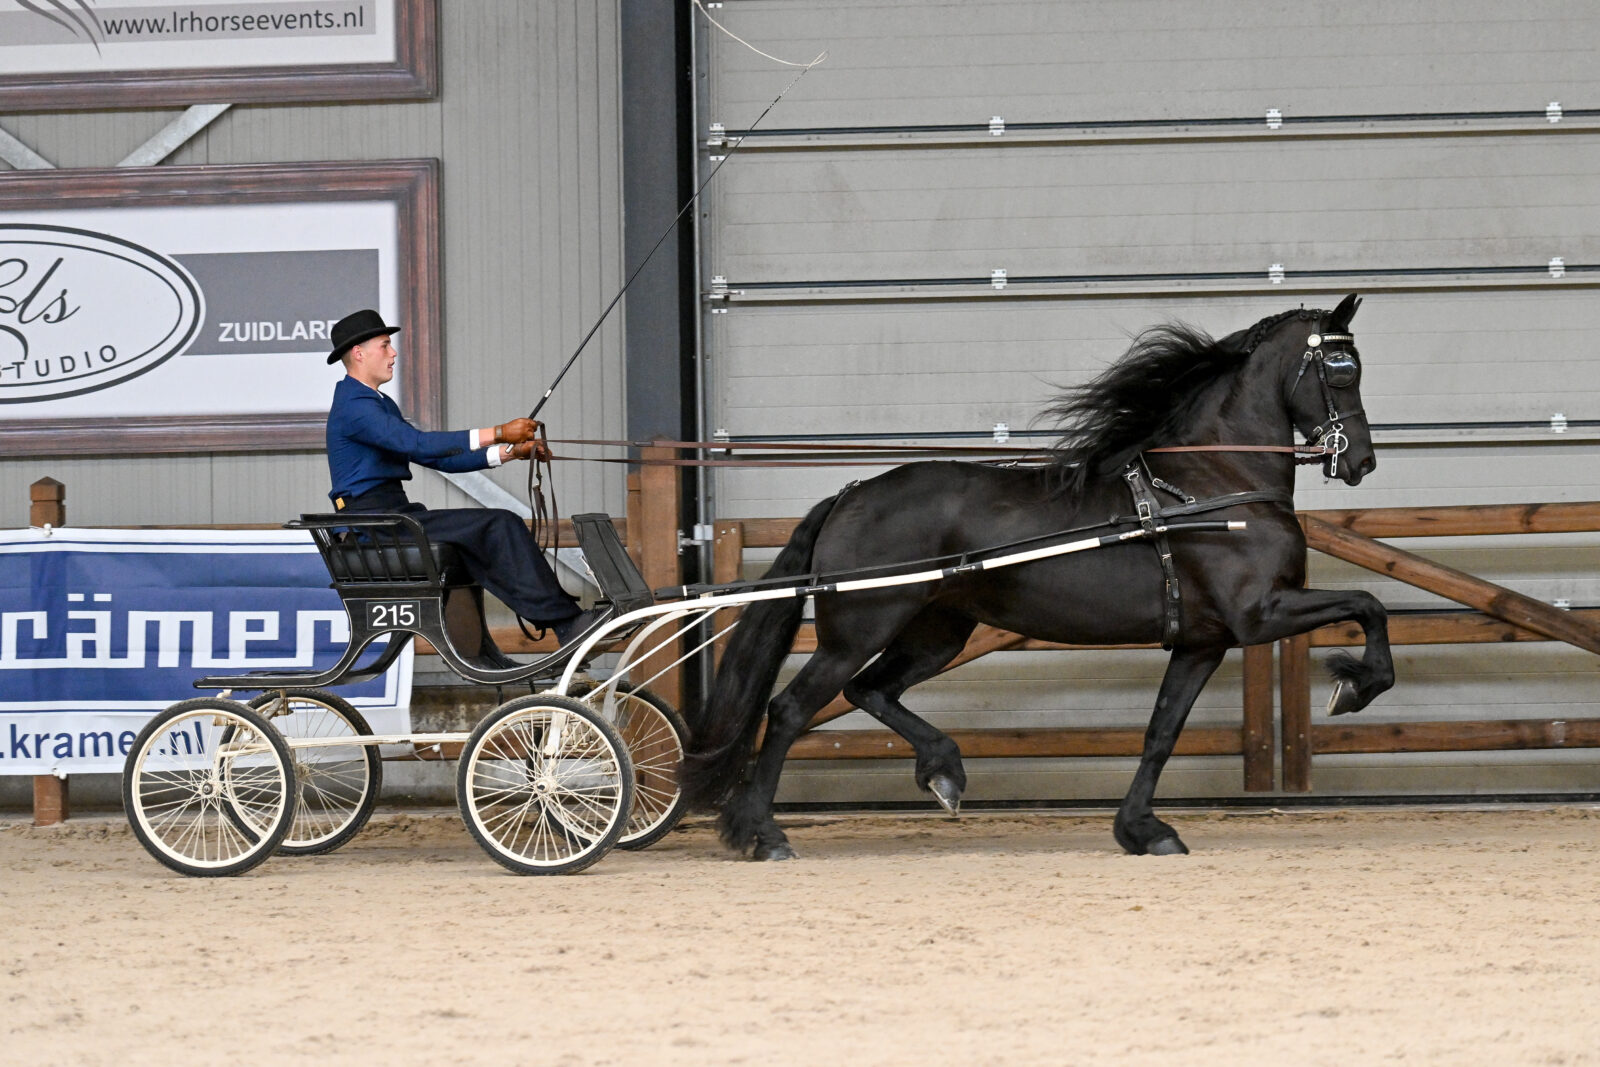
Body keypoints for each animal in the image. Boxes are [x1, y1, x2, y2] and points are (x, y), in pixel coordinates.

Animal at [681, 293, 1393, 860]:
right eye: (1342, 370)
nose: (1361, 461)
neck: (1210, 487)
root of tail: (851, 494)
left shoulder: (1204, 641)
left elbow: (1161, 733)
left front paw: (1142, 830)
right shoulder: (1260, 613)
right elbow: (1369, 603)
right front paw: (1353, 686)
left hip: (938, 631)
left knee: (869, 691)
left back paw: (943, 772)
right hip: (858, 630)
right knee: (791, 709)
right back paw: (764, 834)